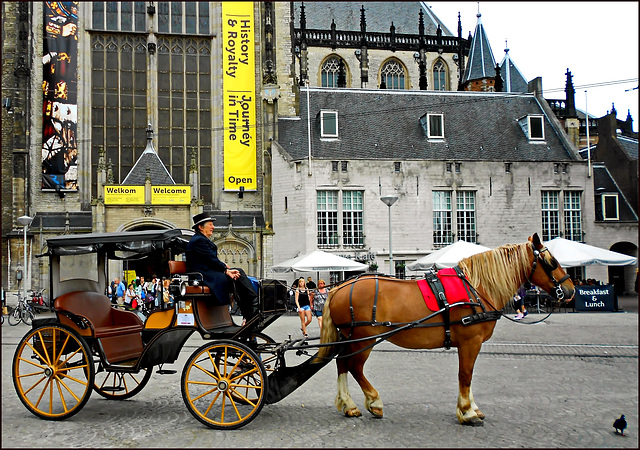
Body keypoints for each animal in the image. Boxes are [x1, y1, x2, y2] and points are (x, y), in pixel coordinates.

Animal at [318, 234, 572, 428]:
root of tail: (339, 287)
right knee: (355, 367)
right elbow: (465, 375)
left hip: (350, 339)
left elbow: (468, 375)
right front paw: (468, 412)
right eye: (551, 262)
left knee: (342, 363)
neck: (476, 289)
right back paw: (374, 403)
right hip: (364, 339)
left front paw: (473, 408)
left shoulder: (470, 344)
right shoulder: (471, 341)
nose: (570, 290)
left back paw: (349, 406)